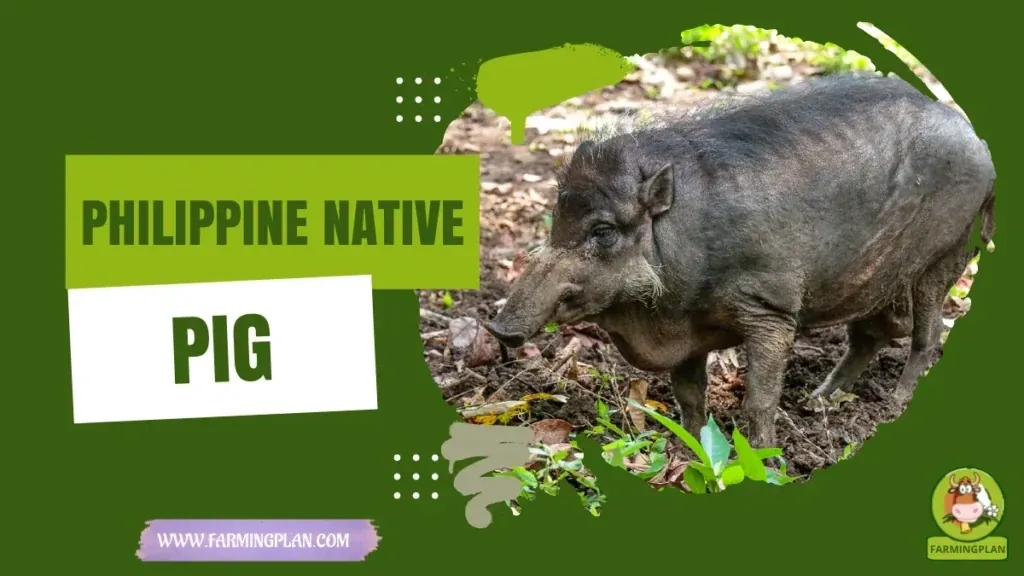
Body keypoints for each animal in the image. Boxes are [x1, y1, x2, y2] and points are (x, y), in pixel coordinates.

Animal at [484, 73, 996, 448]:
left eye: (604, 231)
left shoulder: (772, 308)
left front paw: (766, 457)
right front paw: (688, 451)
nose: (497, 328)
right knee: (871, 335)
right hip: (872, 278)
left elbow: (759, 399)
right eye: (556, 222)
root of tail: (979, 141)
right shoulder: (684, 333)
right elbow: (690, 398)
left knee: (927, 334)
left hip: (945, 255)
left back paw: (892, 404)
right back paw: (817, 401)